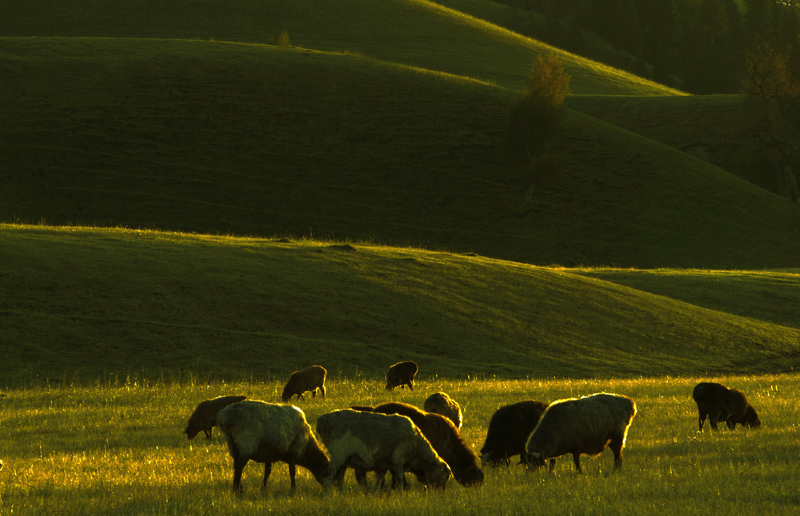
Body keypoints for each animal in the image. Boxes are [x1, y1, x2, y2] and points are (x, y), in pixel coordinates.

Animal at [314, 408, 450, 492]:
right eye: (444, 479)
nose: (440, 494)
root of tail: (321, 420)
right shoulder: (398, 459)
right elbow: (400, 478)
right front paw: (401, 493)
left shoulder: (384, 463)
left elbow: (379, 479)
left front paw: (374, 493)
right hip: (338, 453)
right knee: (328, 474)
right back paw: (326, 494)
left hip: (345, 459)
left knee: (340, 476)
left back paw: (342, 493)